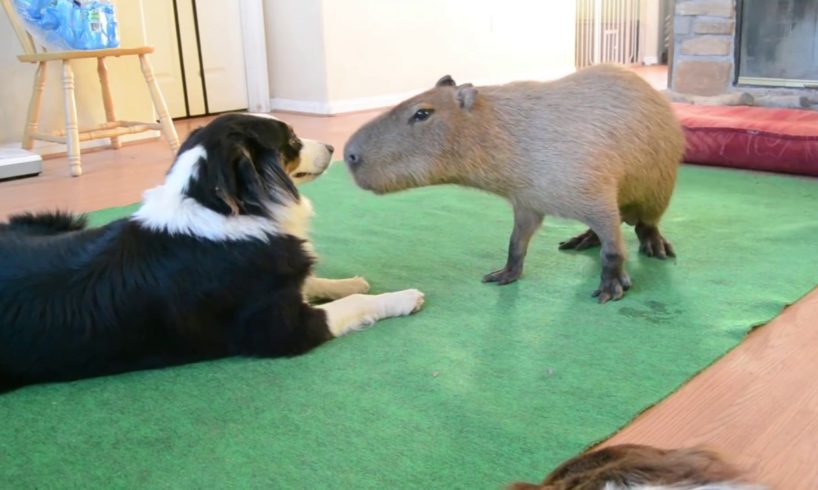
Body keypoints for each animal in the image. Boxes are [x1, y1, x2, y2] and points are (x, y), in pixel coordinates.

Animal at [0, 113, 420, 392]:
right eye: (291, 139)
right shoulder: (280, 330)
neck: (231, 207)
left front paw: (350, 281)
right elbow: (352, 306)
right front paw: (403, 297)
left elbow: (313, 280)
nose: (333, 147)